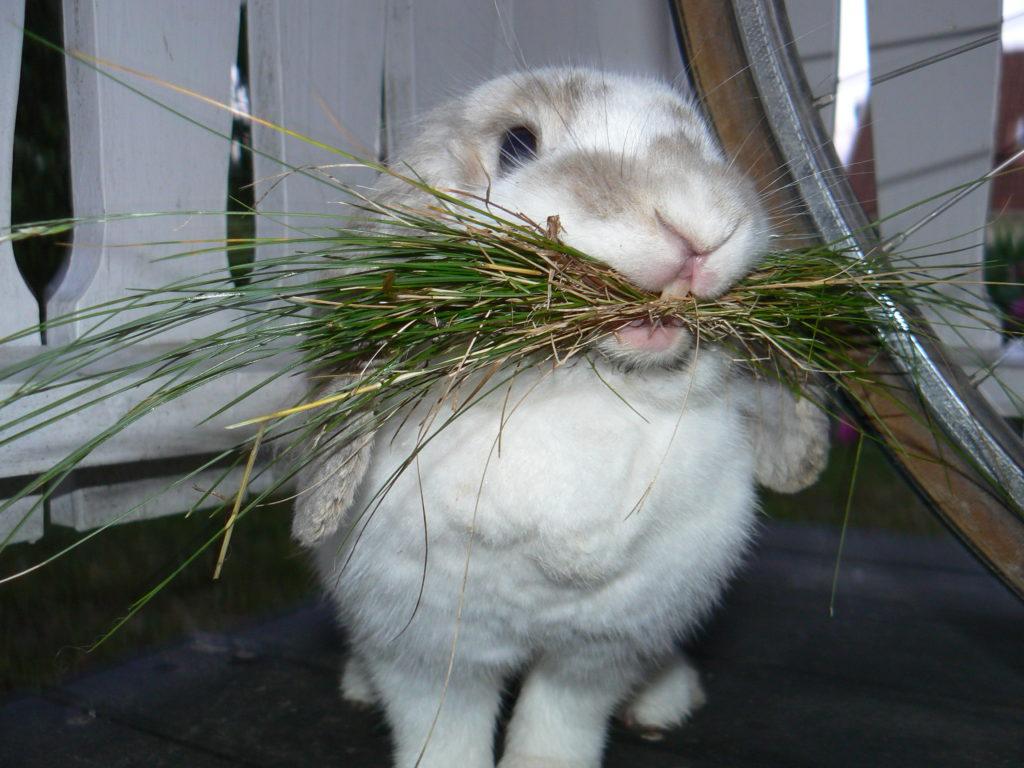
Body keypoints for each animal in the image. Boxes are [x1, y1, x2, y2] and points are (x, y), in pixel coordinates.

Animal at [293, 68, 829, 768]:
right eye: (517, 144)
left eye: (705, 142)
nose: (701, 224)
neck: (578, 392)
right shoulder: (425, 649)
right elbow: (443, 730)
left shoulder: (597, 651)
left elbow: (559, 726)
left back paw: (664, 699)